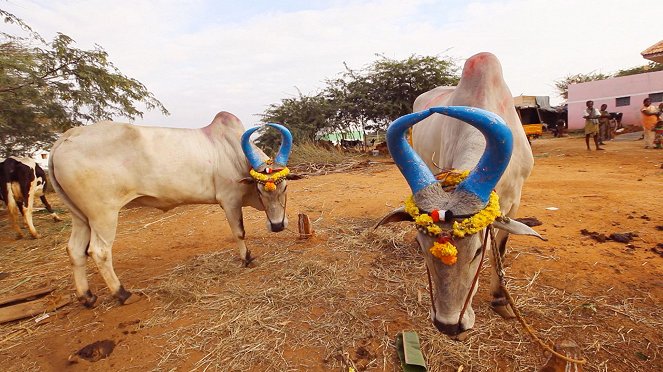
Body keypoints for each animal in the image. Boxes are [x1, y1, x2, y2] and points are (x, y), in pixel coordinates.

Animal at [50, 112, 300, 306]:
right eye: (259, 190)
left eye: (286, 186)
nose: (277, 225)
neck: (233, 151)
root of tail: (66, 137)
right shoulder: (229, 200)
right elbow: (239, 232)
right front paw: (247, 259)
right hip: (103, 214)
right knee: (99, 251)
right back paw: (122, 294)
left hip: (81, 216)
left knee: (74, 250)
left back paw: (87, 297)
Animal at [382, 51, 544, 334]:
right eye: (425, 249)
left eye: (478, 251)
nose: (448, 325)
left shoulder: (514, 201)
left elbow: (501, 249)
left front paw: (500, 300)